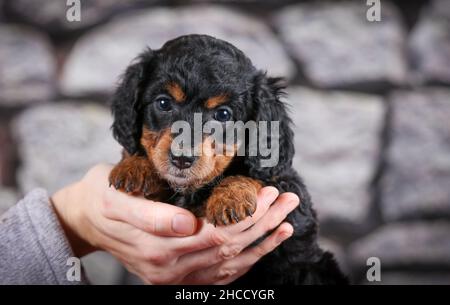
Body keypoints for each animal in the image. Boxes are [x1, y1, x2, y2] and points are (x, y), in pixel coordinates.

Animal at [109, 34, 348, 284]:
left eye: (223, 114)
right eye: (163, 103)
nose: (182, 159)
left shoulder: (288, 194)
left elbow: (256, 176)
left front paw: (231, 197)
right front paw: (135, 166)